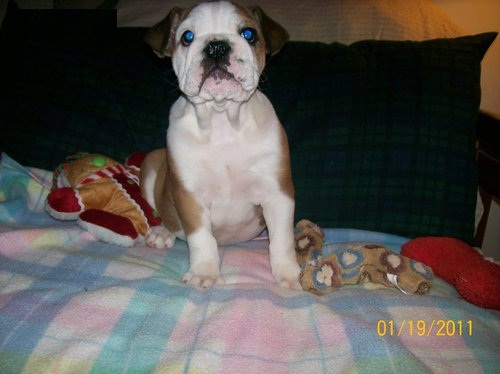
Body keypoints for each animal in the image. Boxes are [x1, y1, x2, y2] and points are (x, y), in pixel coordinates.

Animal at [140, 0, 300, 290]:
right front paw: (205, 272)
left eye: (249, 34)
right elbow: (201, 238)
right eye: (187, 37)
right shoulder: (190, 196)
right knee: (161, 211)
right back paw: (162, 231)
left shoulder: (278, 193)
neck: (222, 120)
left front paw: (289, 275)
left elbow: (282, 239)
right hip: (152, 163)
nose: (216, 46)